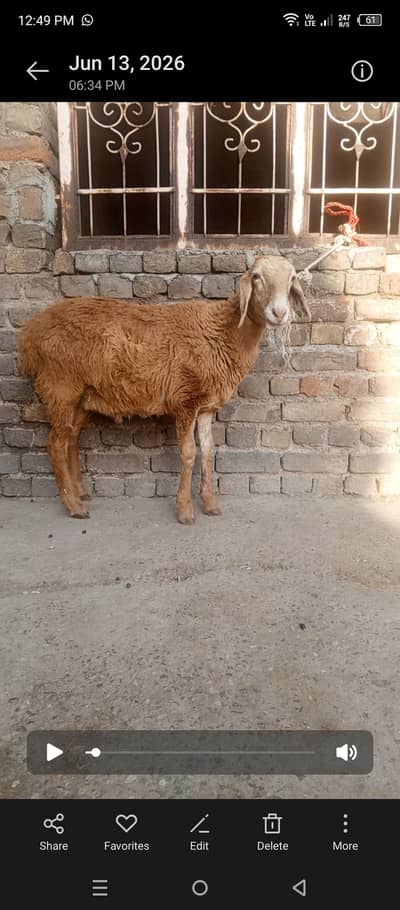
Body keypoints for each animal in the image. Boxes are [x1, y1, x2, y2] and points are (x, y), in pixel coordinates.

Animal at [18, 255, 310, 524]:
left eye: (291, 279)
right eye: (257, 277)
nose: (280, 313)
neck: (223, 332)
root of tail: (29, 335)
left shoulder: (206, 405)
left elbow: (208, 451)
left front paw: (210, 503)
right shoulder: (185, 399)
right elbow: (189, 453)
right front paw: (185, 511)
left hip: (82, 395)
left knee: (71, 438)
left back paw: (80, 492)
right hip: (60, 386)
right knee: (55, 444)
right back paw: (74, 505)